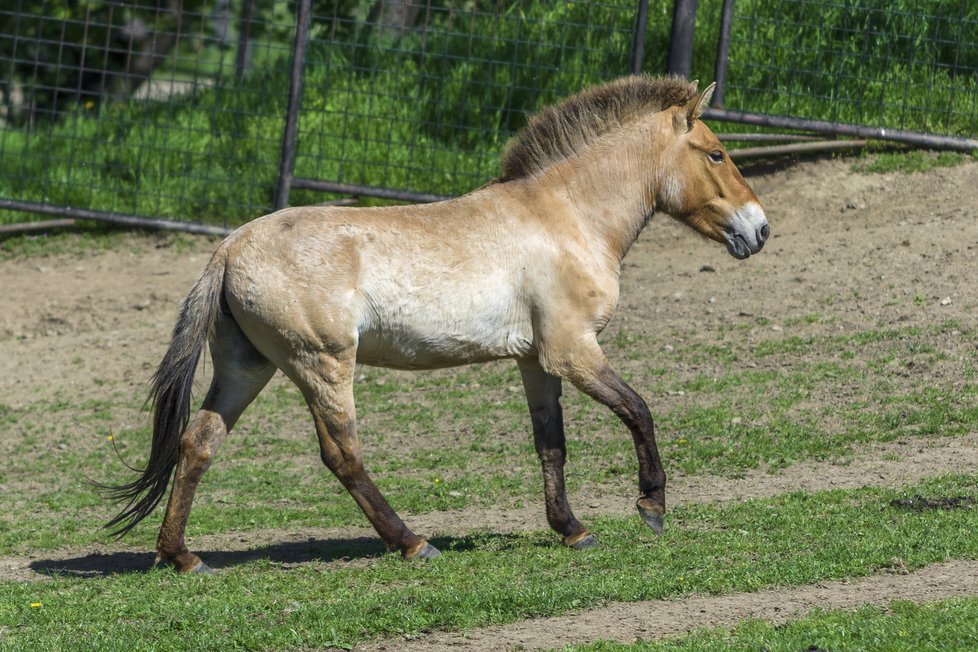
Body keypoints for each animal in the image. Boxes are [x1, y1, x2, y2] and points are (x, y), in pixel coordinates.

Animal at [103, 75, 768, 572]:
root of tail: (228, 248)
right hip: (322, 365)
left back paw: (183, 557)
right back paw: (413, 542)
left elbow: (551, 443)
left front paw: (572, 529)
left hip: (249, 368)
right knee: (341, 454)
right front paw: (651, 507)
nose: (759, 230)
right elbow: (639, 410)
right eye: (717, 152)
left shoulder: (536, 360)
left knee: (198, 442)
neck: (565, 217)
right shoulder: (573, 350)